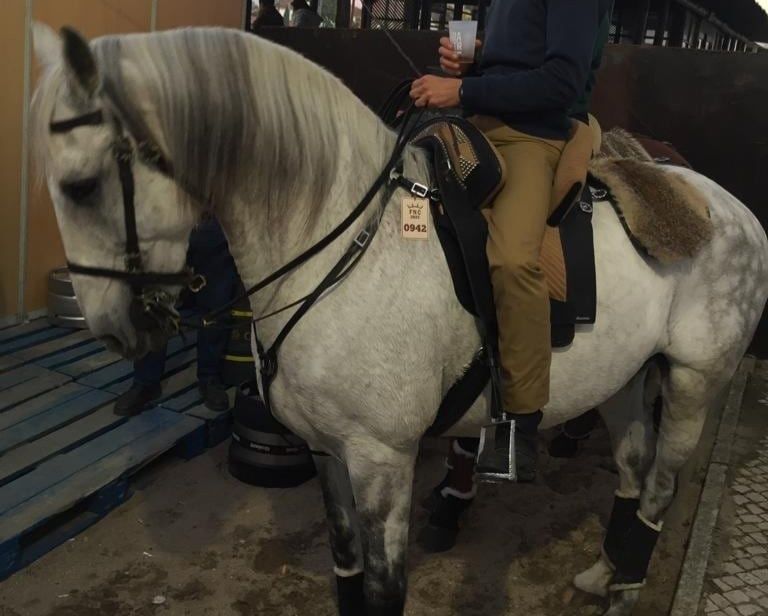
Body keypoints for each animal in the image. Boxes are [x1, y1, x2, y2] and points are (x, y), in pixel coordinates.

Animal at [31, 24, 768, 616]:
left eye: (81, 186)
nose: (113, 329)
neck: (343, 241)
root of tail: (733, 210)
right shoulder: (327, 453)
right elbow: (347, 572)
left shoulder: (382, 460)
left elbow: (384, 592)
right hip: (621, 378)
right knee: (633, 470)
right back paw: (603, 573)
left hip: (693, 383)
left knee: (659, 489)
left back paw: (624, 590)